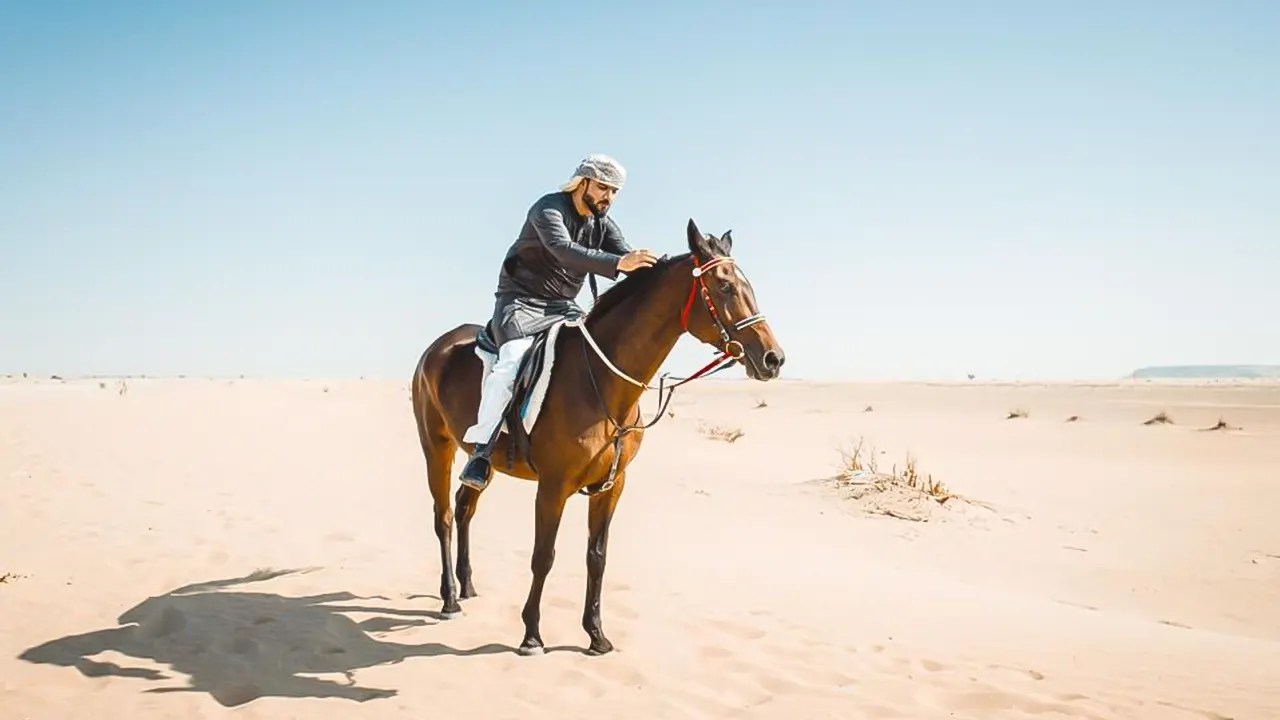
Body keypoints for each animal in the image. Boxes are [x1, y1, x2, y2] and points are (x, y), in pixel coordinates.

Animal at [414, 215, 783, 653]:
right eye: (725, 287)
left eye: (748, 286)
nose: (773, 358)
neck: (602, 381)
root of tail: (438, 348)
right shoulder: (553, 486)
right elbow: (544, 556)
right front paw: (532, 633)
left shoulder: (612, 485)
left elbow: (597, 557)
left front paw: (596, 635)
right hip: (436, 446)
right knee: (444, 517)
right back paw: (450, 598)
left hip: (477, 459)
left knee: (465, 506)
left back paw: (467, 585)